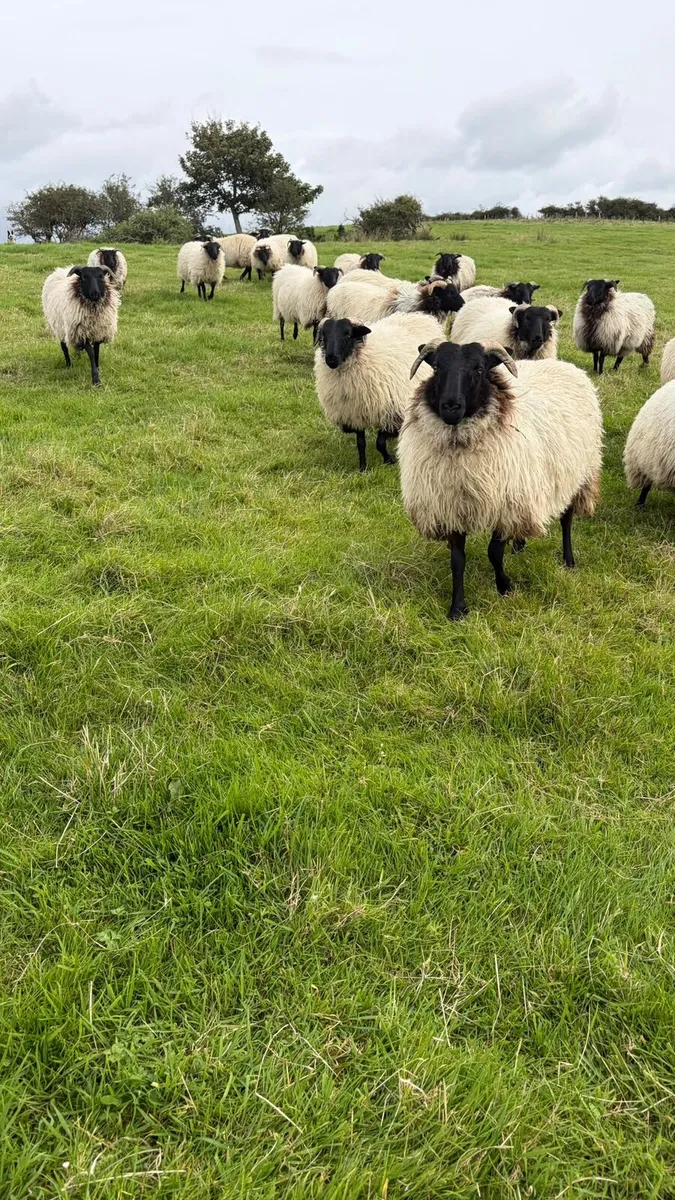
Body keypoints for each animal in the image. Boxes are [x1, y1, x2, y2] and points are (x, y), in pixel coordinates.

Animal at [314, 312, 442, 471]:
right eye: (323, 335)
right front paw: (363, 468)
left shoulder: (391, 412)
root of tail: (418, 315)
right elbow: (361, 444)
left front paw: (389, 459)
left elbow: (380, 443)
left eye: (348, 334)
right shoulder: (355, 414)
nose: (331, 359)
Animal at [398, 341, 602, 619]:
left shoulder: (504, 503)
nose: (451, 406)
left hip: (576, 475)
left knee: (567, 520)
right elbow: (457, 561)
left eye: (479, 368)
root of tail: (566, 365)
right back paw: (519, 544)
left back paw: (568, 560)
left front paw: (505, 586)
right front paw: (457, 609)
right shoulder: (451, 506)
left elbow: (494, 552)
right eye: (437, 367)